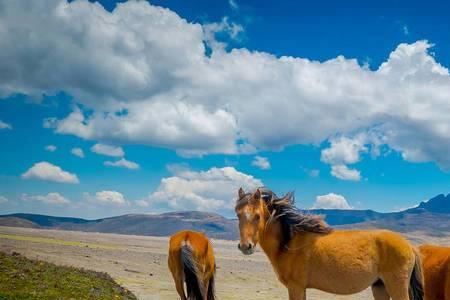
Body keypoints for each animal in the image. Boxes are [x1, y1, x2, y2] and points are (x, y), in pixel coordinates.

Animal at [234, 188, 424, 300]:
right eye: (238, 214)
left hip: (396, 287)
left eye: (258, 216)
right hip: (379, 287)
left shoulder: (296, 287)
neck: (290, 243)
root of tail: (409, 246)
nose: (245, 247)